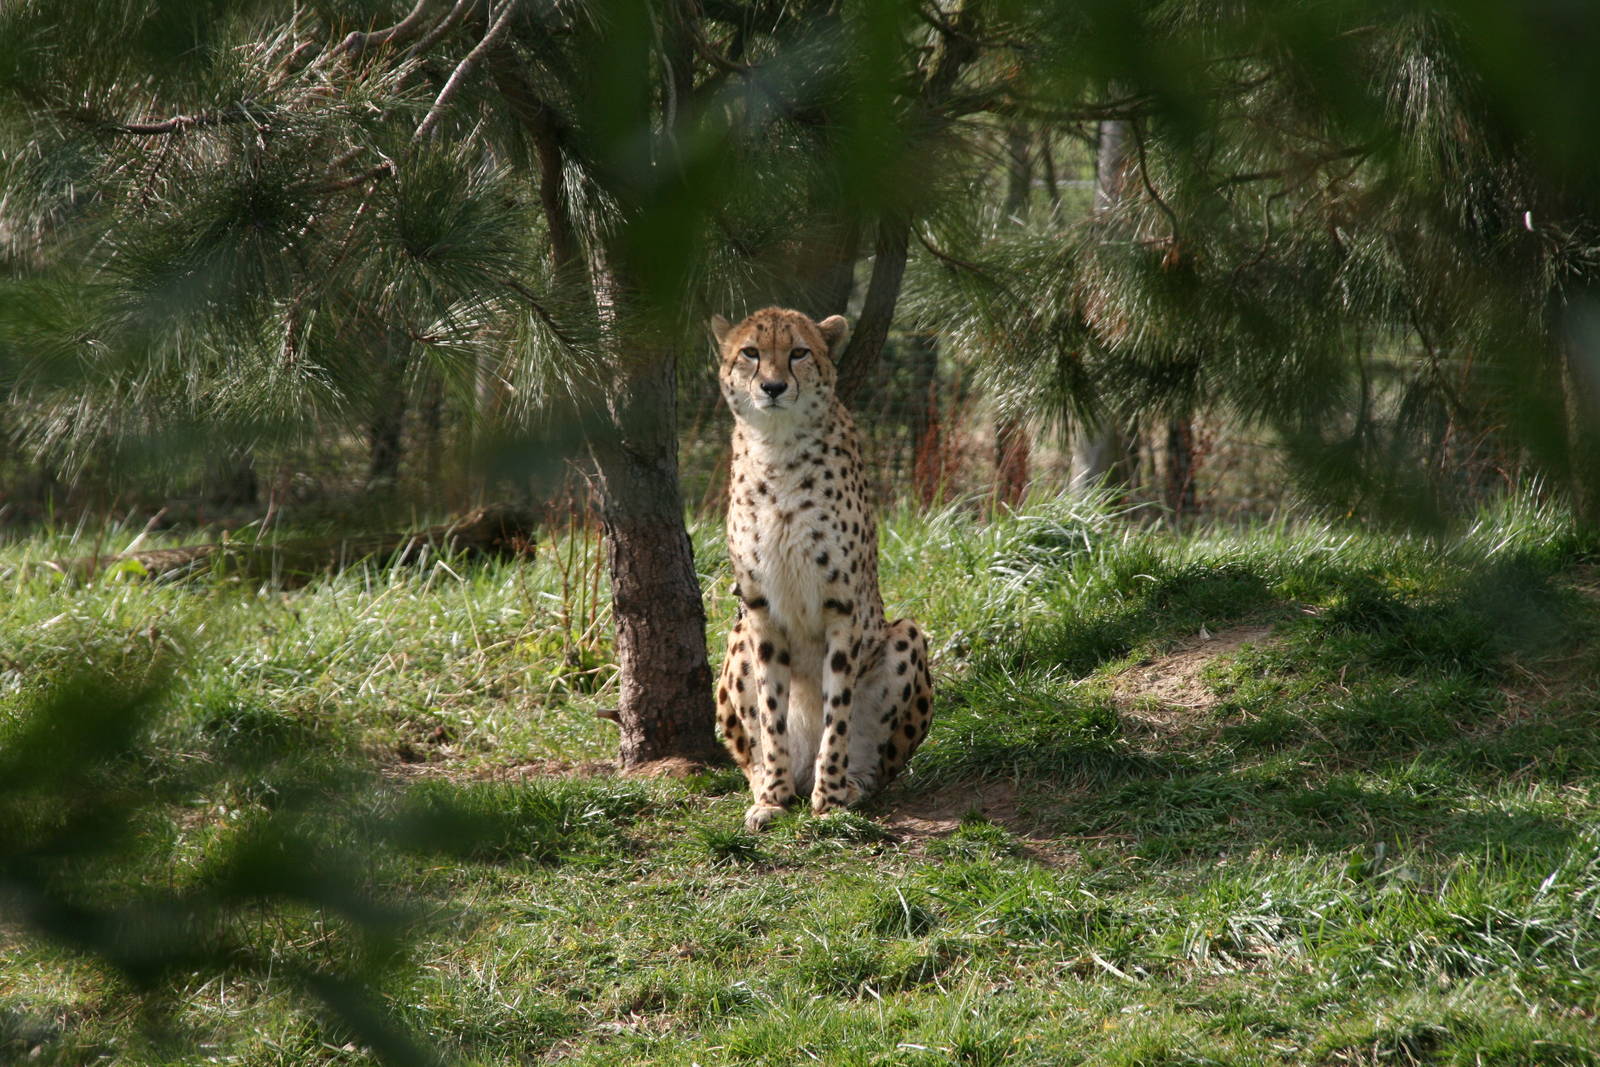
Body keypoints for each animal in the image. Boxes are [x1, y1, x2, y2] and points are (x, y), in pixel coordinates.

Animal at [710, 306, 934, 832]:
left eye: (798, 352)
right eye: (750, 352)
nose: (773, 387)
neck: (777, 451)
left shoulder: (842, 607)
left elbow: (838, 711)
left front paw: (829, 798)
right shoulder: (760, 610)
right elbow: (771, 712)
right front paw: (773, 798)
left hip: (907, 634)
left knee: (880, 764)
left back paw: (850, 784)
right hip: (736, 634)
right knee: (752, 749)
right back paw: (771, 784)